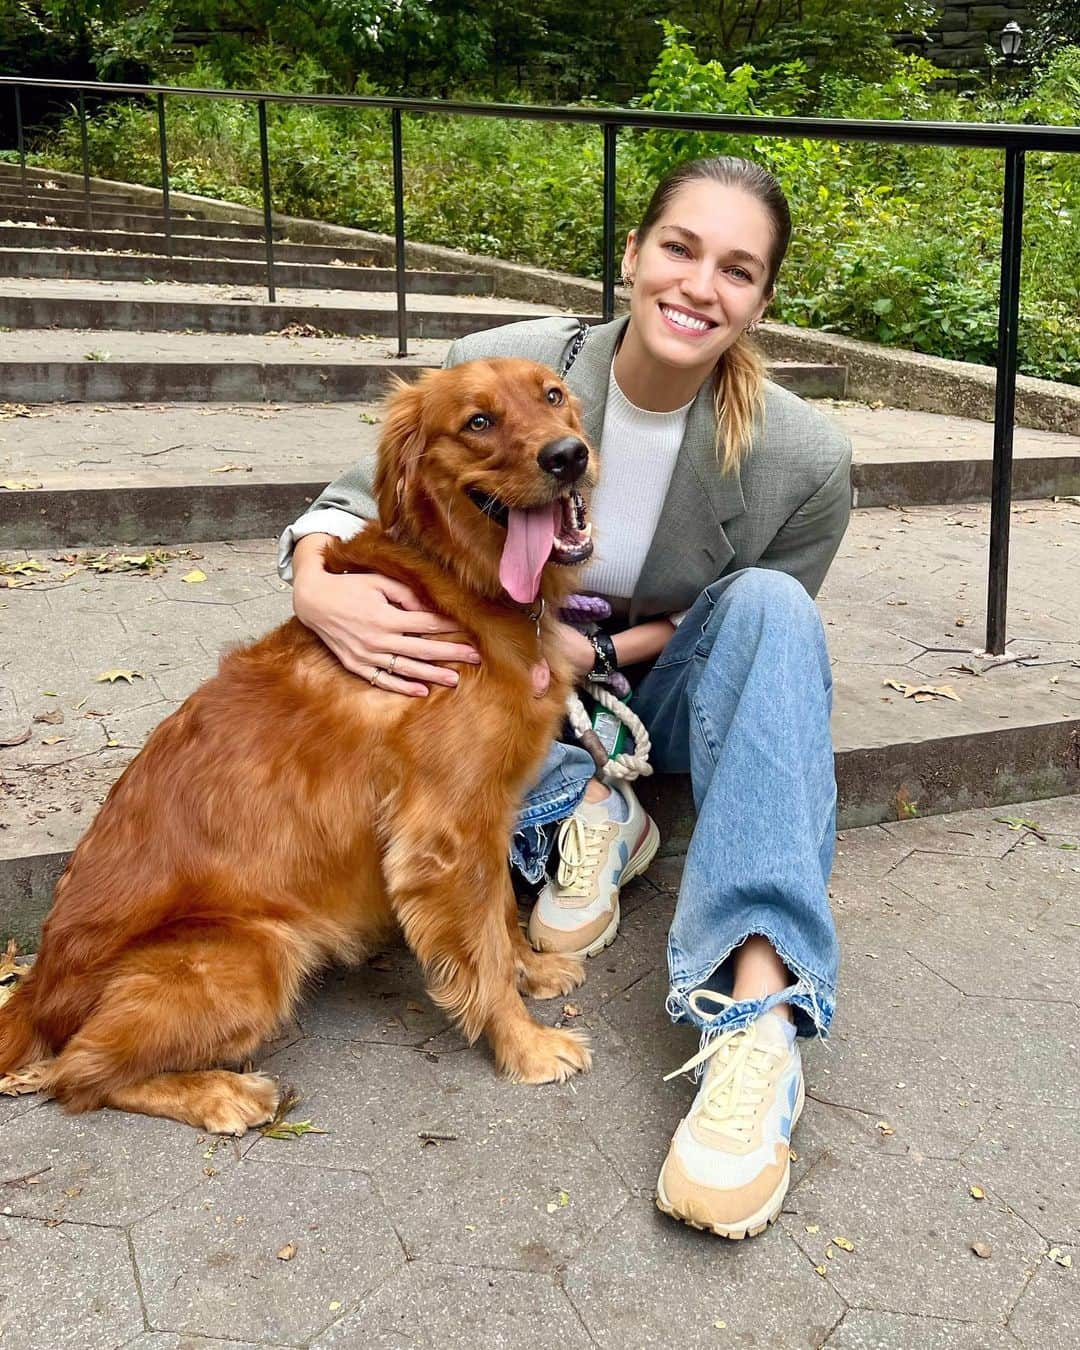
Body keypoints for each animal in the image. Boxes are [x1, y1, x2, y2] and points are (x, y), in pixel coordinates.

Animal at [0, 356, 594, 1128]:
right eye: (478, 421)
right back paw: (222, 1092)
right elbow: (483, 950)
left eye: (554, 396)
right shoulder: (448, 832)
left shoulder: (485, 819)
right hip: (254, 951)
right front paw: (524, 1044)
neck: (456, 579)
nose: (569, 455)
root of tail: (36, 986)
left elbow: (499, 918)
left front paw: (532, 968)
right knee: (76, 1073)